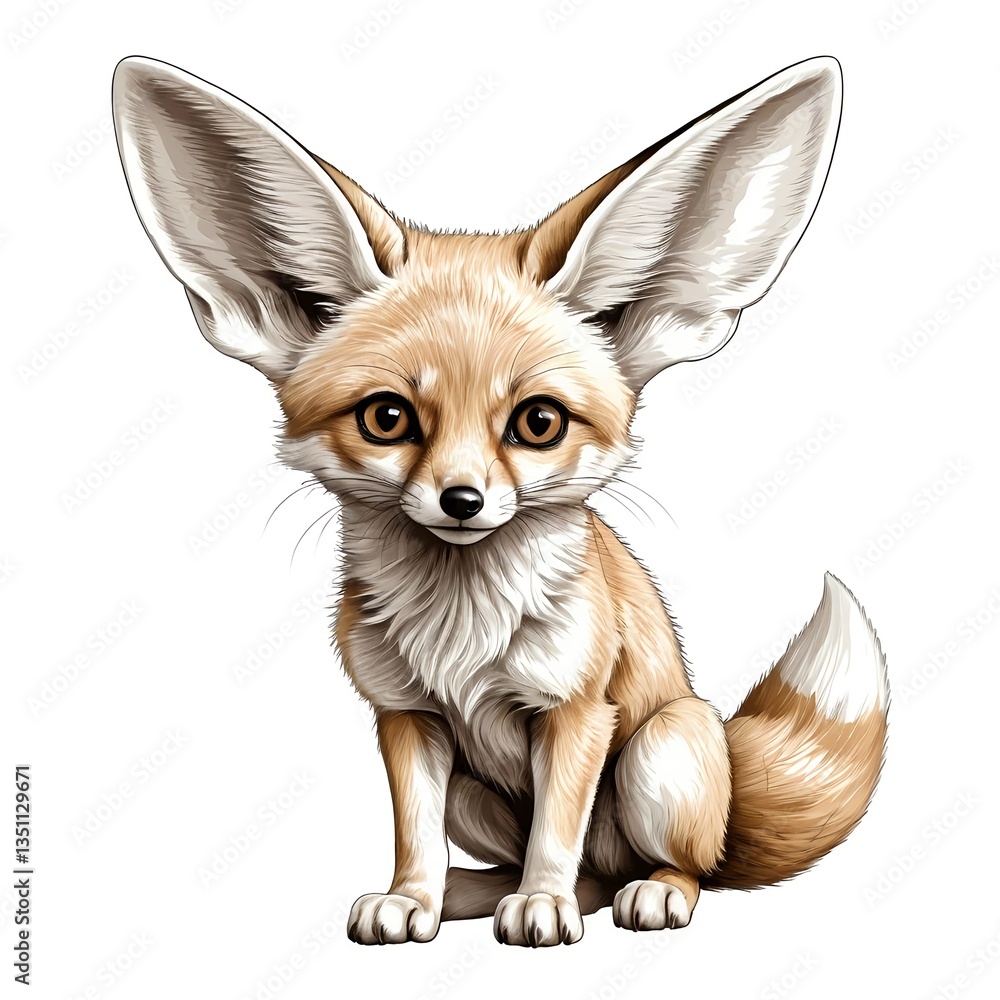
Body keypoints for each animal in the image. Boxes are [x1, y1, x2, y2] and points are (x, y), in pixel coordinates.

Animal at [112, 54, 888, 947]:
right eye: (387, 418)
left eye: (537, 422)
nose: (461, 499)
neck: (463, 636)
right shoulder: (407, 718)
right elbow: (414, 835)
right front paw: (412, 899)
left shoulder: (576, 711)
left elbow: (556, 829)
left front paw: (541, 907)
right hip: (475, 796)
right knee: (570, 870)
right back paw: (471, 894)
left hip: (660, 749)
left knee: (665, 866)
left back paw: (648, 892)